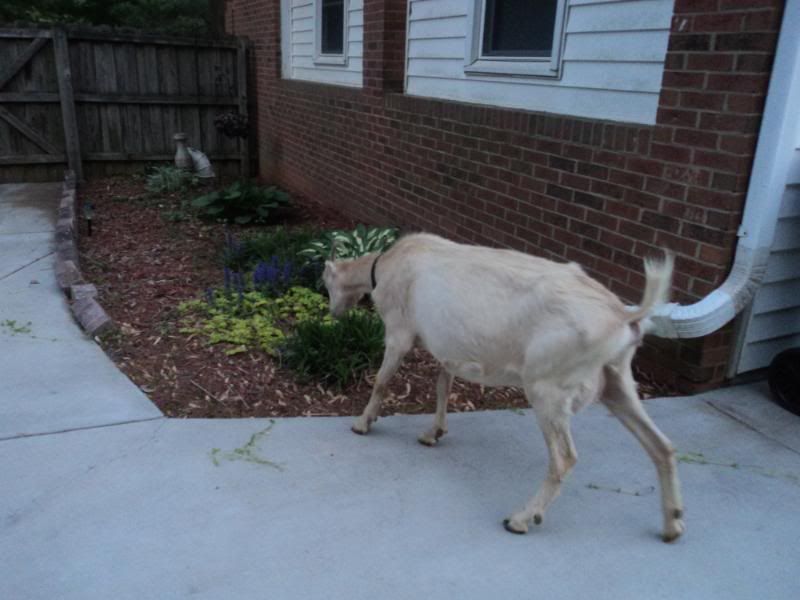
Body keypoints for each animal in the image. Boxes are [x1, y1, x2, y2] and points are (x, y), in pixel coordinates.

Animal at [322, 233, 684, 542]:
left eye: (327, 284)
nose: (333, 311)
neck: (386, 265)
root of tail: (622, 316)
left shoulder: (399, 331)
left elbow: (383, 381)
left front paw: (362, 423)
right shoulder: (448, 348)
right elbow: (442, 385)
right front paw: (432, 433)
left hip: (548, 386)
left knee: (564, 458)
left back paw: (520, 519)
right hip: (617, 379)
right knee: (662, 446)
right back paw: (672, 525)